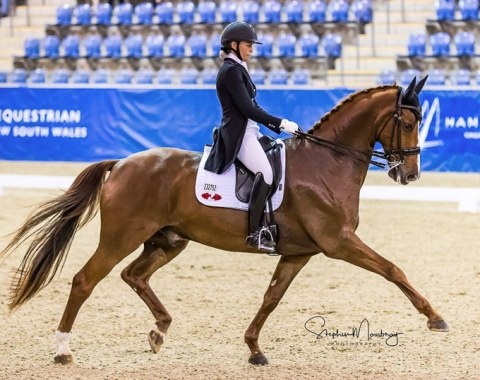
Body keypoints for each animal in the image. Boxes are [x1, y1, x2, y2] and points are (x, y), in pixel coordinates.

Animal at [1, 77, 448, 366]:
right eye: (409, 123)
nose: (409, 176)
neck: (327, 162)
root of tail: (123, 162)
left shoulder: (299, 252)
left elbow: (271, 298)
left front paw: (254, 349)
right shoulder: (338, 242)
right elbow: (392, 269)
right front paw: (435, 318)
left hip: (169, 239)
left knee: (134, 275)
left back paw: (160, 331)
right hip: (121, 236)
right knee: (85, 280)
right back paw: (63, 350)